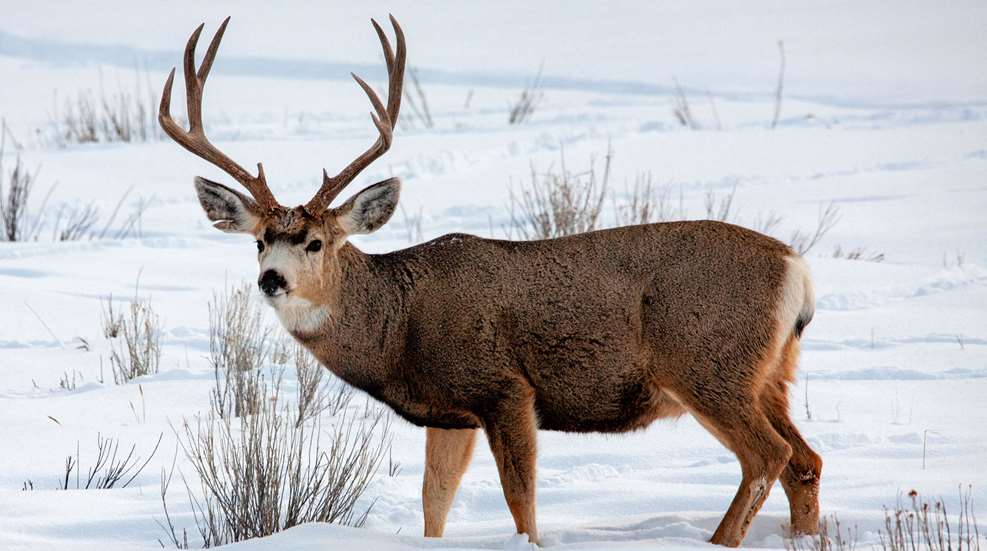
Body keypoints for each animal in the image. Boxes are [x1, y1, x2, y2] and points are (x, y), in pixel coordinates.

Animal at [159, 15, 822, 547]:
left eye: (316, 243)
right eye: (259, 241)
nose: (272, 279)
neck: (399, 323)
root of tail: (797, 269)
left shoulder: (504, 387)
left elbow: (521, 502)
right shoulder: (449, 414)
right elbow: (434, 503)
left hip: (708, 362)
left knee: (770, 455)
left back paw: (721, 540)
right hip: (768, 372)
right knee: (805, 461)